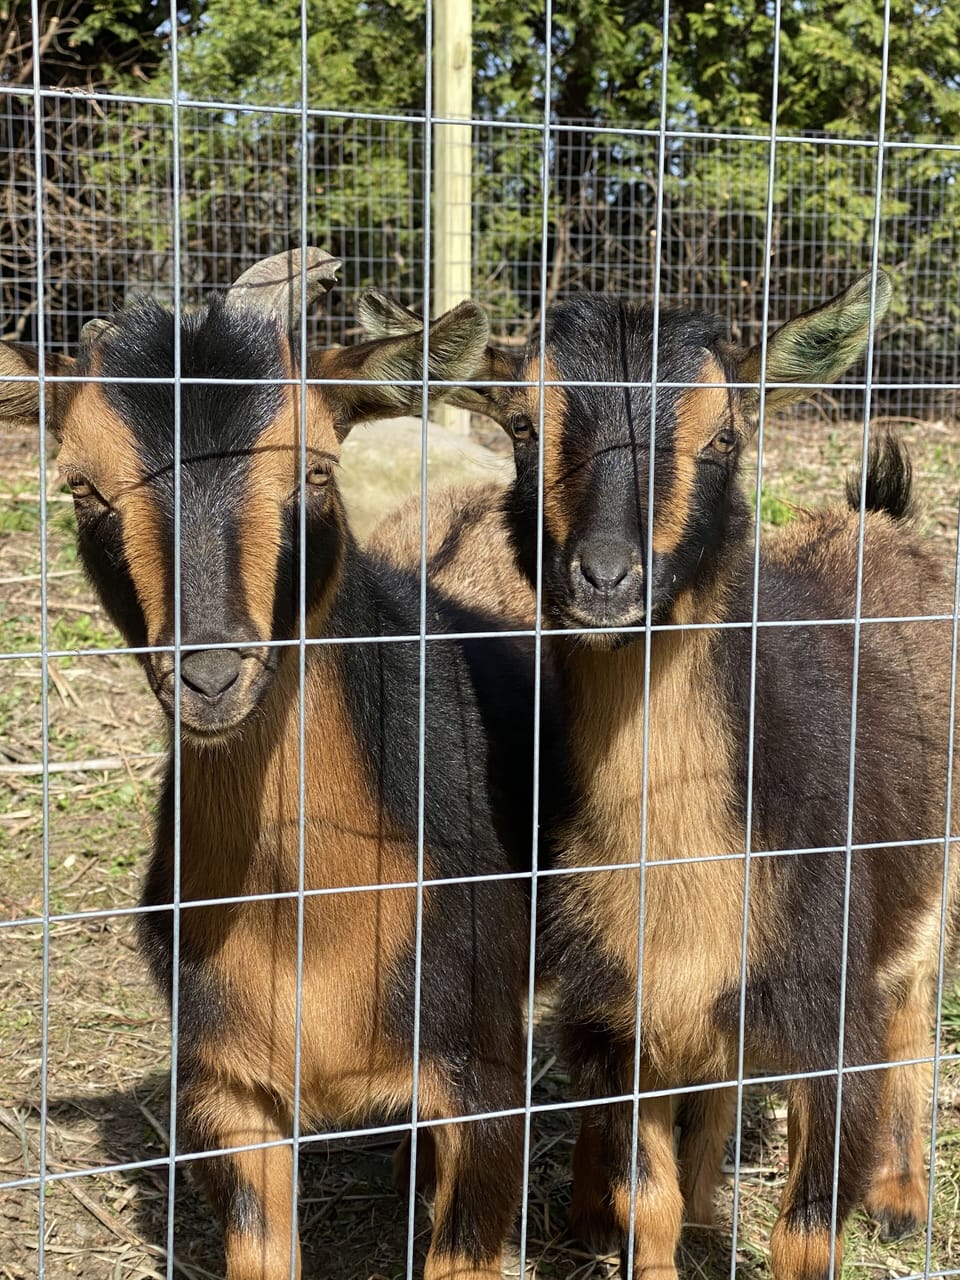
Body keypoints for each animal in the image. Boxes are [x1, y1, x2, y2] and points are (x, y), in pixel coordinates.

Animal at [357, 275, 960, 1280]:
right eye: (522, 427)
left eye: (725, 438)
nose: (605, 578)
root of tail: (879, 519)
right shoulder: (621, 1015)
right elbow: (650, 1201)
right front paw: (668, 1223)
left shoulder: (830, 1003)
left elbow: (807, 1229)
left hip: (930, 872)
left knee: (915, 1001)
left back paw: (903, 1201)